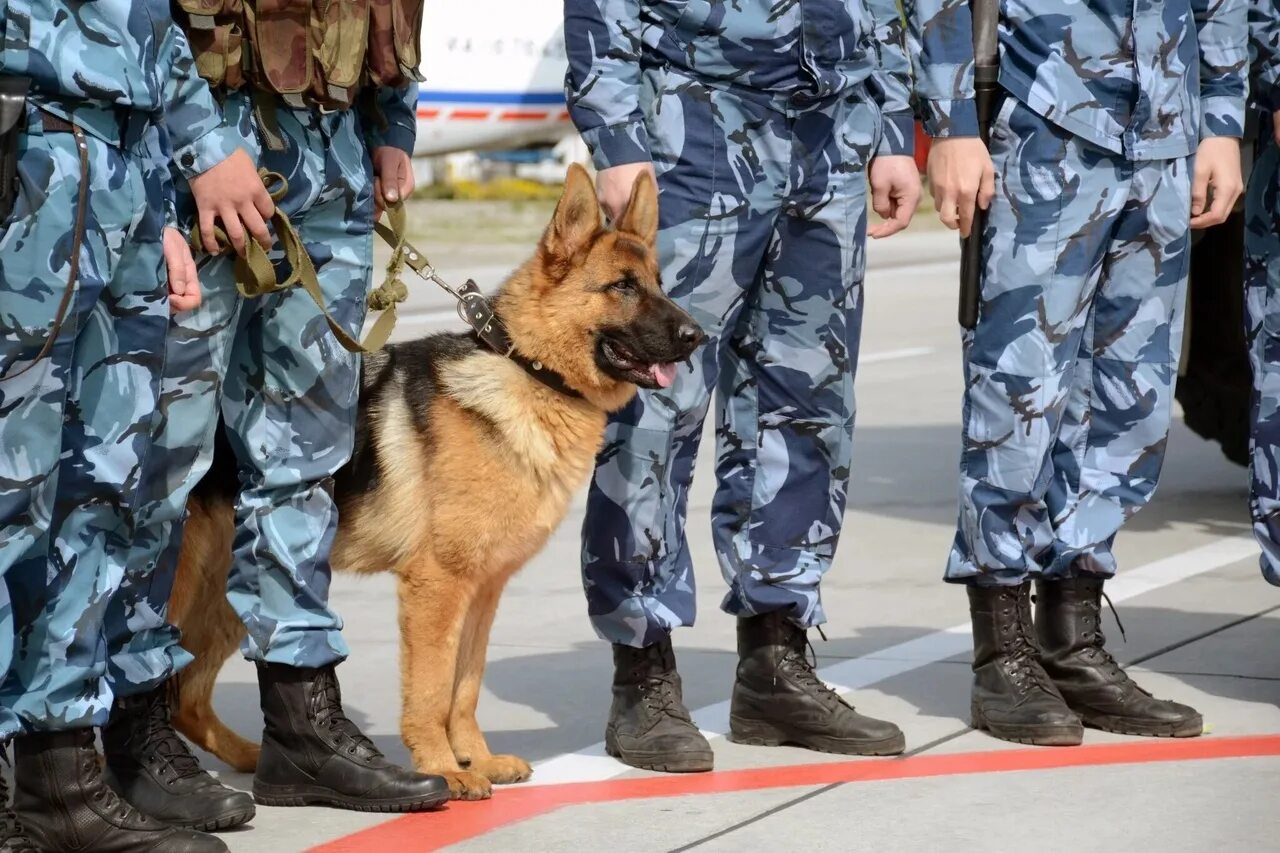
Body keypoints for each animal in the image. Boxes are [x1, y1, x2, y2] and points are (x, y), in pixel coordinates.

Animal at [166, 166, 706, 799]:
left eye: (658, 284)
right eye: (622, 287)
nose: (697, 335)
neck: (528, 370)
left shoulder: (483, 591)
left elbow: (463, 687)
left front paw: (477, 758)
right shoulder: (436, 587)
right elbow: (428, 691)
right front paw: (444, 769)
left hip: (240, 589)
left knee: (187, 695)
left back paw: (257, 759)